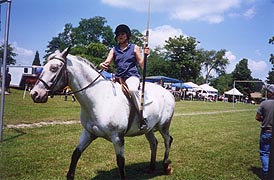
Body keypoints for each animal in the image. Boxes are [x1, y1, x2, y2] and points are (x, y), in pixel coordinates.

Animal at [30, 47, 176, 180]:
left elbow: (121, 163)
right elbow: (75, 154)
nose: (35, 94)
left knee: (168, 140)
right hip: (148, 129)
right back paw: (151, 168)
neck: (99, 99)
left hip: (163, 125)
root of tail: (169, 93)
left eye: (54, 68)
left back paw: (166, 166)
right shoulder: (88, 133)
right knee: (154, 143)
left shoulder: (117, 138)